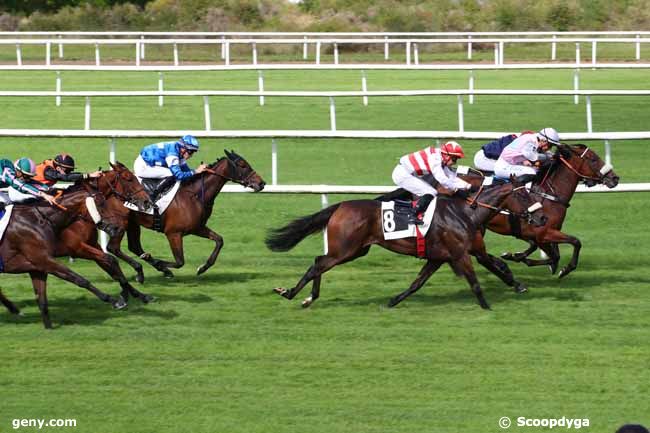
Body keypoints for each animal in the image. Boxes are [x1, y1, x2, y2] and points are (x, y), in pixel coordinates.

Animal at [0, 166, 151, 328]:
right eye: (129, 179)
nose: (147, 201)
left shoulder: (91, 245)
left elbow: (111, 264)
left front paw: (139, 294)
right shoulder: (76, 248)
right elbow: (106, 263)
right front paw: (122, 297)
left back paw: (14, 309)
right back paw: (14, 309)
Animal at [101, 150, 264, 282]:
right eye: (243, 165)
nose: (261, 183)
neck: (195, 195)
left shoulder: (197, 228)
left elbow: (219, 240)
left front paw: (202, 267)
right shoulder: (173, 233)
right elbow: (180, 261)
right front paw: (160, 263)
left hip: (133, 223)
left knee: (134, 246)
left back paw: (152, 265)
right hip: (121, 223)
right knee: (113, 247)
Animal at [266, 176, 544, 310]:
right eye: (523, 195)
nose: (541, 217)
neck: (465, 212)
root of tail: (341, 206)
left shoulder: (442, 256)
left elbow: (416, 283)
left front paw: (393, 301)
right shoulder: (460, 254)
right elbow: (475, 282)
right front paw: (487, 307)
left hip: (355, 250)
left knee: (319, 263)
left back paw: (307, 298)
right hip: (344, 249)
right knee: (318, 264)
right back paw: (291, 293)